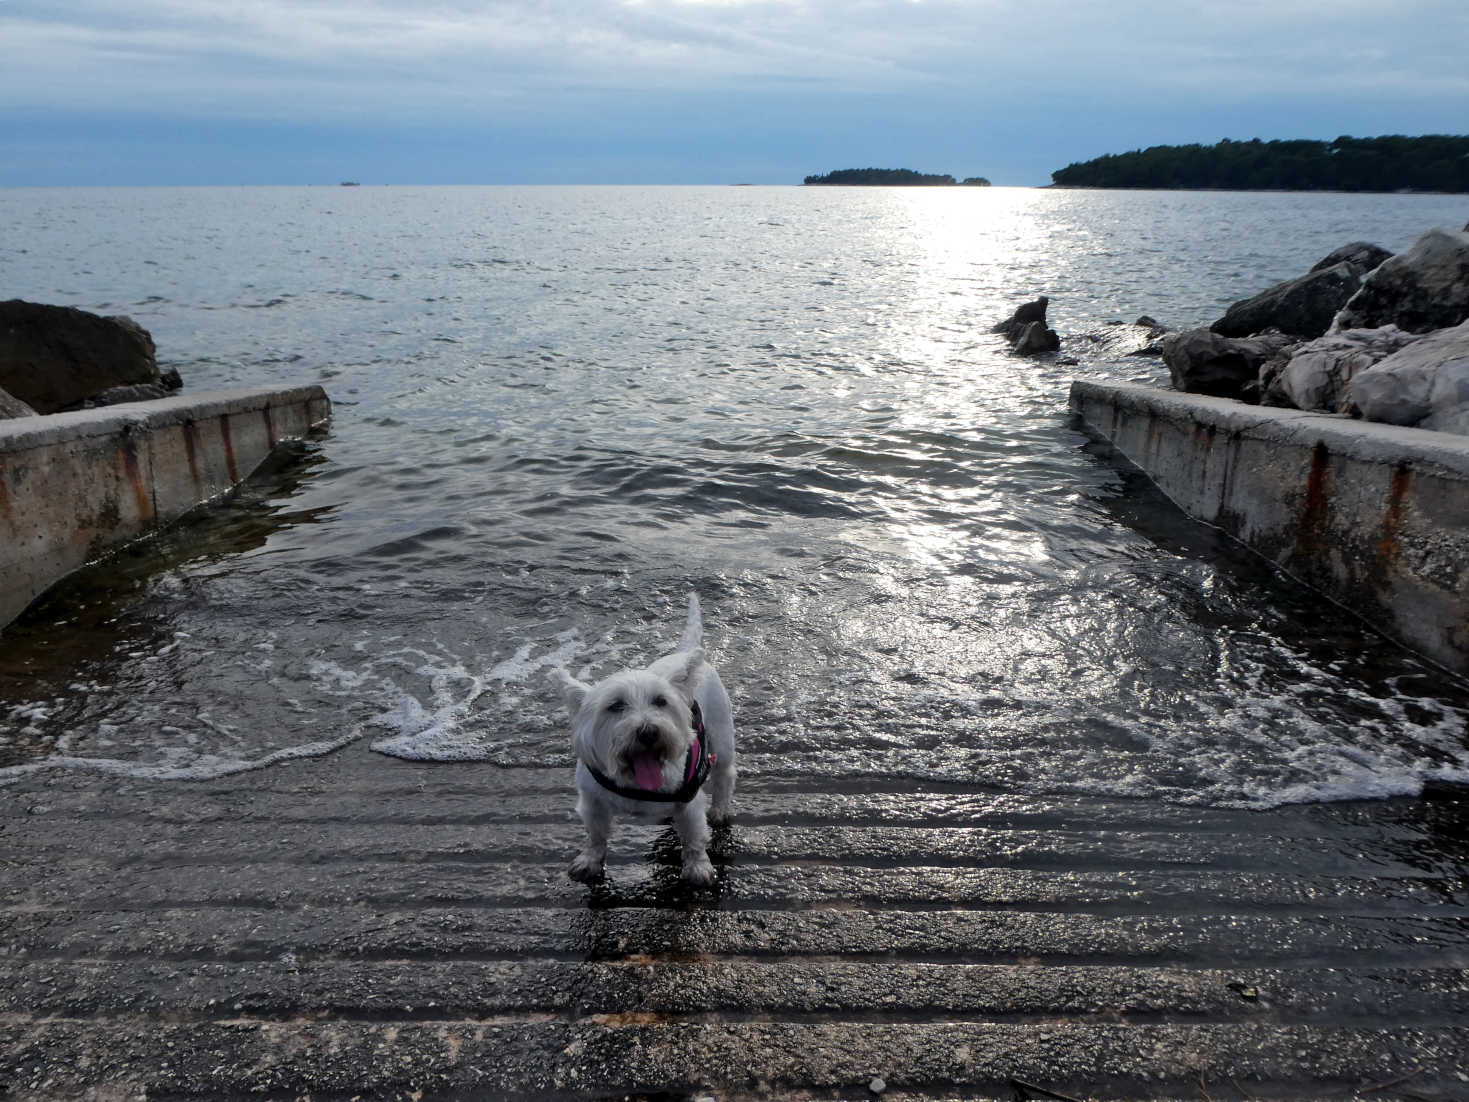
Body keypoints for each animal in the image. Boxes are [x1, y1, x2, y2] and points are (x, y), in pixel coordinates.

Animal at [552, 596, 734, 887]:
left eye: (661, 701)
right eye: (615, 706)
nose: (649, 732)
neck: (635, 782)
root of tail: (685, 653)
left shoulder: (689, 801)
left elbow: (694, 837)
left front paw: (698, 868)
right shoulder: (593, 802)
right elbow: (596, 835)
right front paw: (589, 861)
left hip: (721, 734)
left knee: (725, 774)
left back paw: (719, 810)